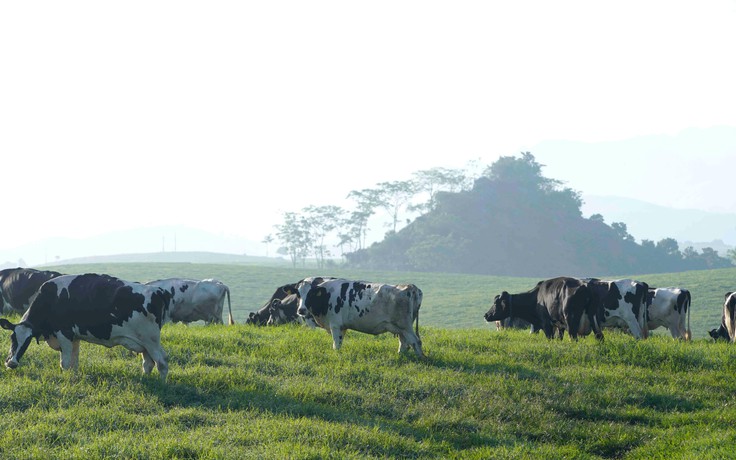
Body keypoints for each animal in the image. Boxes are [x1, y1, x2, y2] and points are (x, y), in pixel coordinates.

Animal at [0, 274, 173, 380]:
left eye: (28, 340)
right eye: (12, 337)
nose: (11, 362)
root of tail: (158, 290)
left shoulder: (64, 334)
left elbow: (65, 363)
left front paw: (66, 379)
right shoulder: (74, 337)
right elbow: (74, 362)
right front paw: (73, 377)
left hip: (151, 340)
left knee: (162, 361)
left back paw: (161, 383)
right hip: (145, 344)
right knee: (148, 363)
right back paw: (145, 379)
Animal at [294, 276, 422, 360]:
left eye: (311, 294)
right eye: (298, 294)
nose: (301, 310)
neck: (327, 294)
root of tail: (411, 287)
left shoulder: (335, 325)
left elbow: (336, 345)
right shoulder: (342, 327)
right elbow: (339, 343)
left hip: (405, 326)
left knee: (416, 342)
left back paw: (421, 358)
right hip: (401, 329)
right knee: (404, 343)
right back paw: (400, 356)